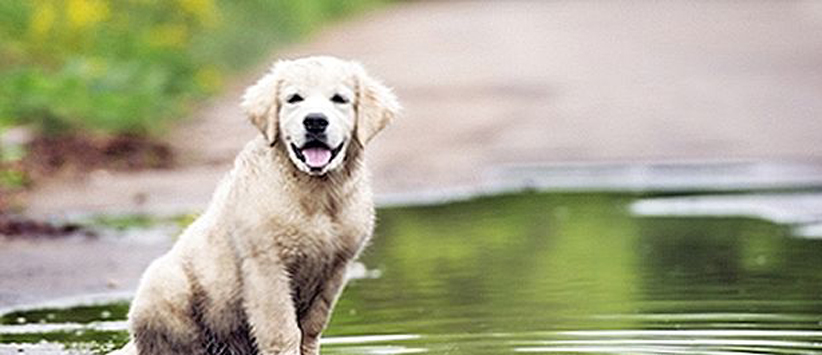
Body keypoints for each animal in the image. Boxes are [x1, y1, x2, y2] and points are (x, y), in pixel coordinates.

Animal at [111, 55, 400, 355]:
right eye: (294, 99)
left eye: (339, 99)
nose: (315, 122)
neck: (314, 192)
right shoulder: (266, 265)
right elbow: (282, 329)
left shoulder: (335, 269)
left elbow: (311, 329)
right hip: (164, 285)